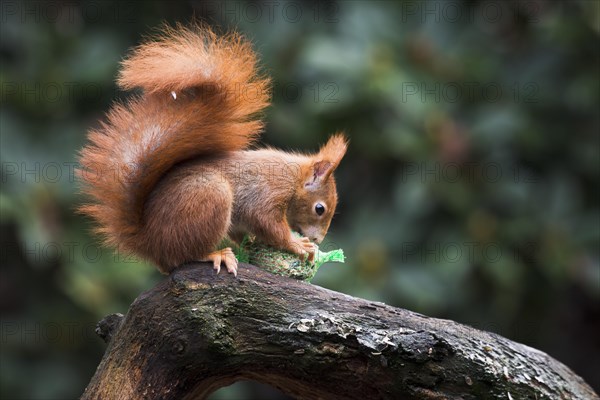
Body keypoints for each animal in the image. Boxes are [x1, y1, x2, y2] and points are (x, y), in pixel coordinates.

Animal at [78, 24, 346, 276]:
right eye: (319, 209)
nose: (318, 239)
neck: (293, 178)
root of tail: (150, 244)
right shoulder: (268, 192)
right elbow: (268, 224)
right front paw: (297, 245)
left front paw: (255, 243)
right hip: (211, 196)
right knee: (183, 256)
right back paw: (214, 254)